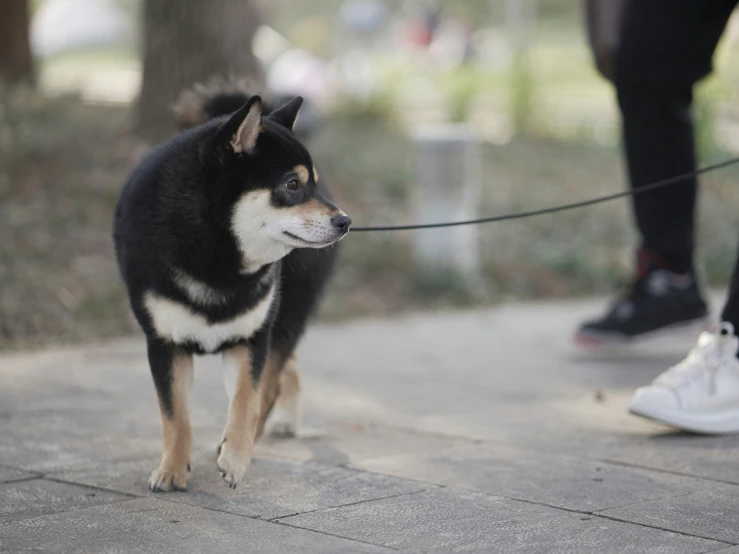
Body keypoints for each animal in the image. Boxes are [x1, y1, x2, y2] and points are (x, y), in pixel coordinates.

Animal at [112, 76, 350, 488]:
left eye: (314, 184)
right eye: (292, 184)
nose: (345, 221)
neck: (217, 254)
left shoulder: (251, 338)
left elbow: (247, 402)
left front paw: (235, 458)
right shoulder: (164, 343)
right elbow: (176, 416)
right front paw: (172, 469)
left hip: (284, 316)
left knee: (274, 380)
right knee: (287, 368)